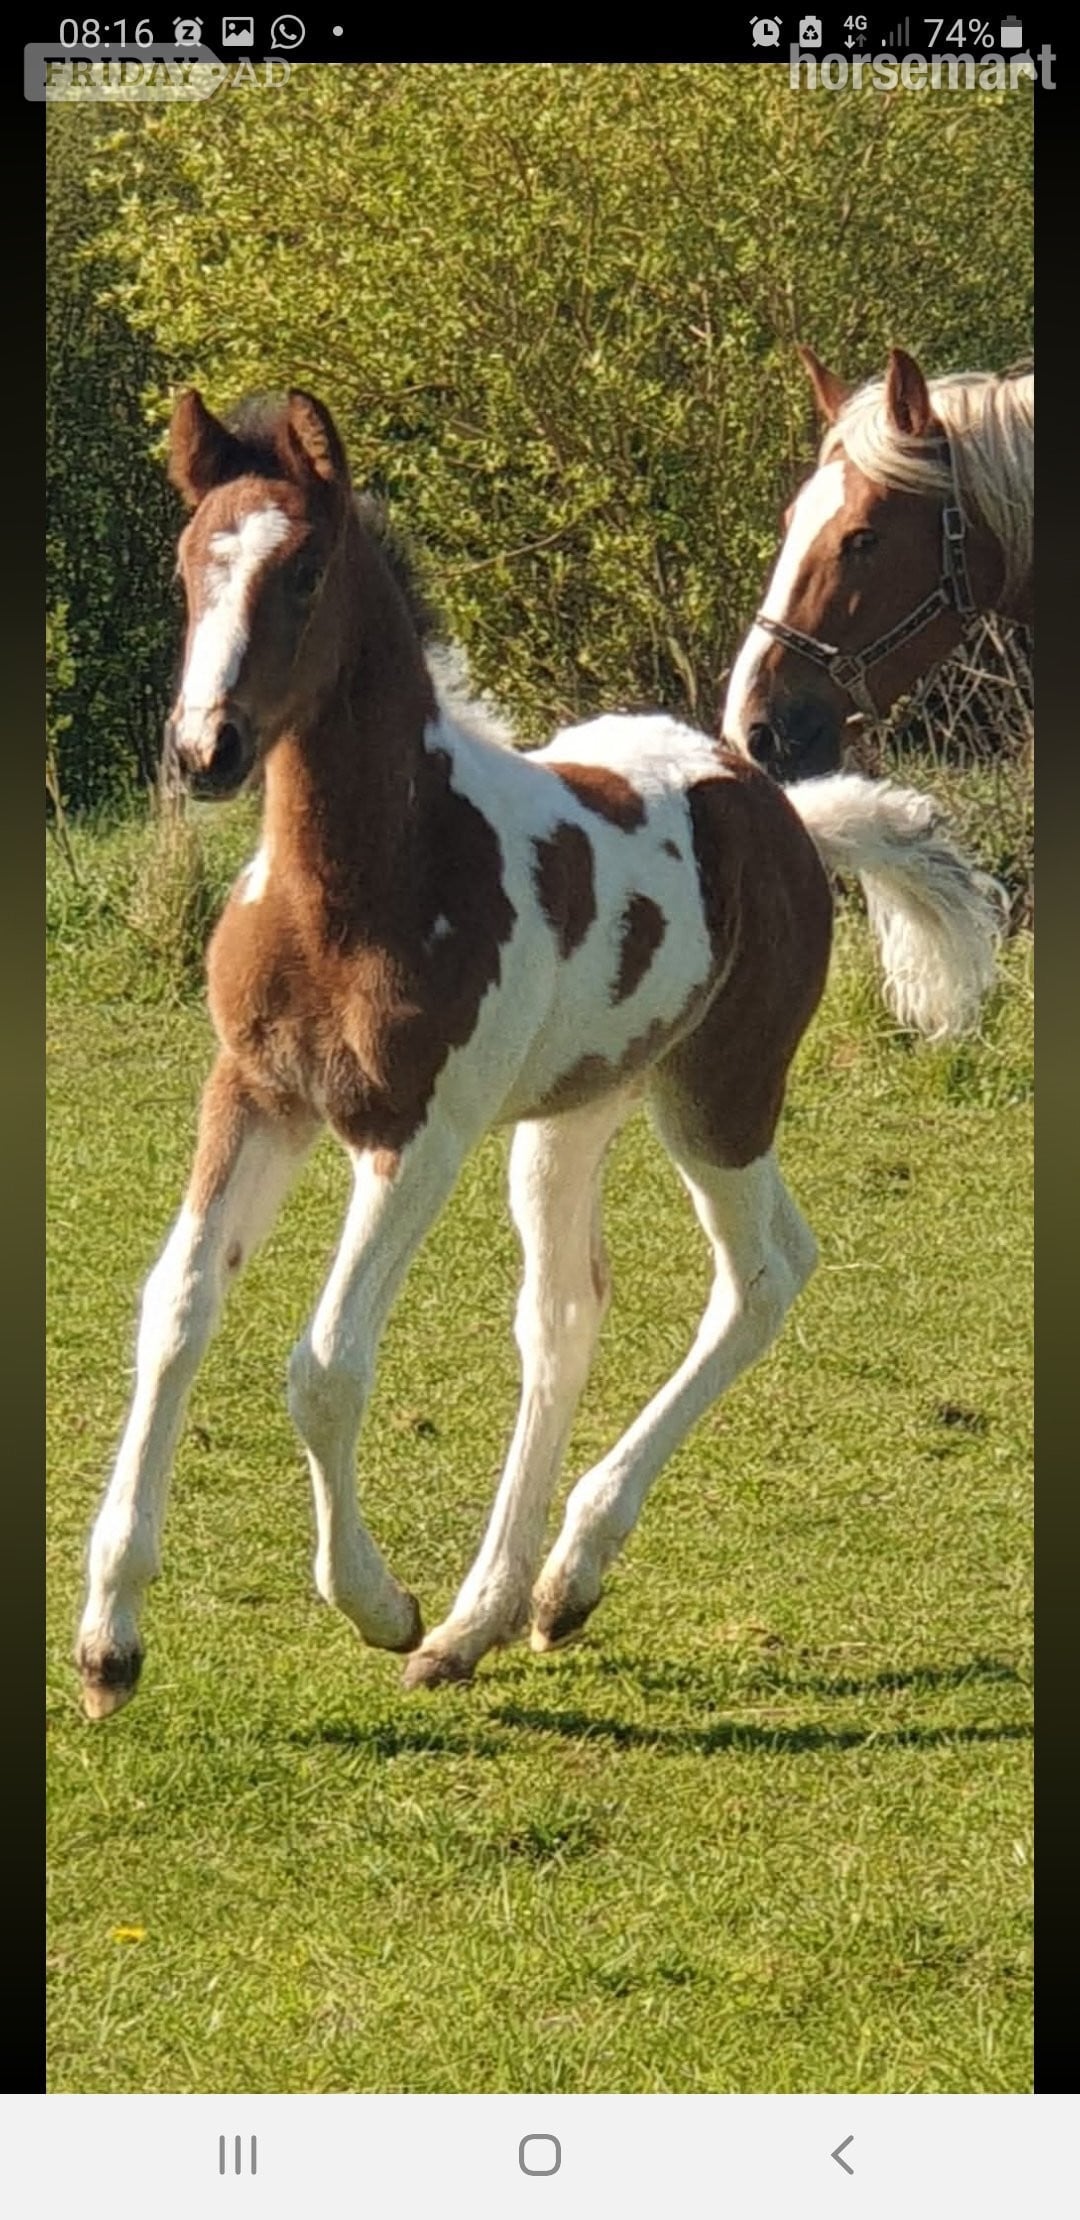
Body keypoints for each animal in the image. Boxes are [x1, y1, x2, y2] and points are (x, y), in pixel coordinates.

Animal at [75, 386, 1004, 1718]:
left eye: (304, 572)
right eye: (191, 563)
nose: (207, 750)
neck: (367, 880)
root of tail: (782, 810)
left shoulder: (417, 1132)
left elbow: (325, 1365)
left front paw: (375, 1603)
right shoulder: (254, 1093)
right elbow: (177, 1309)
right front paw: (108, 1644)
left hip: (718, 1099)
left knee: (766, 1272)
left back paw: (560, 1577)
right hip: (569, 1116)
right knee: (564, 1314)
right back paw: (488, 1613)